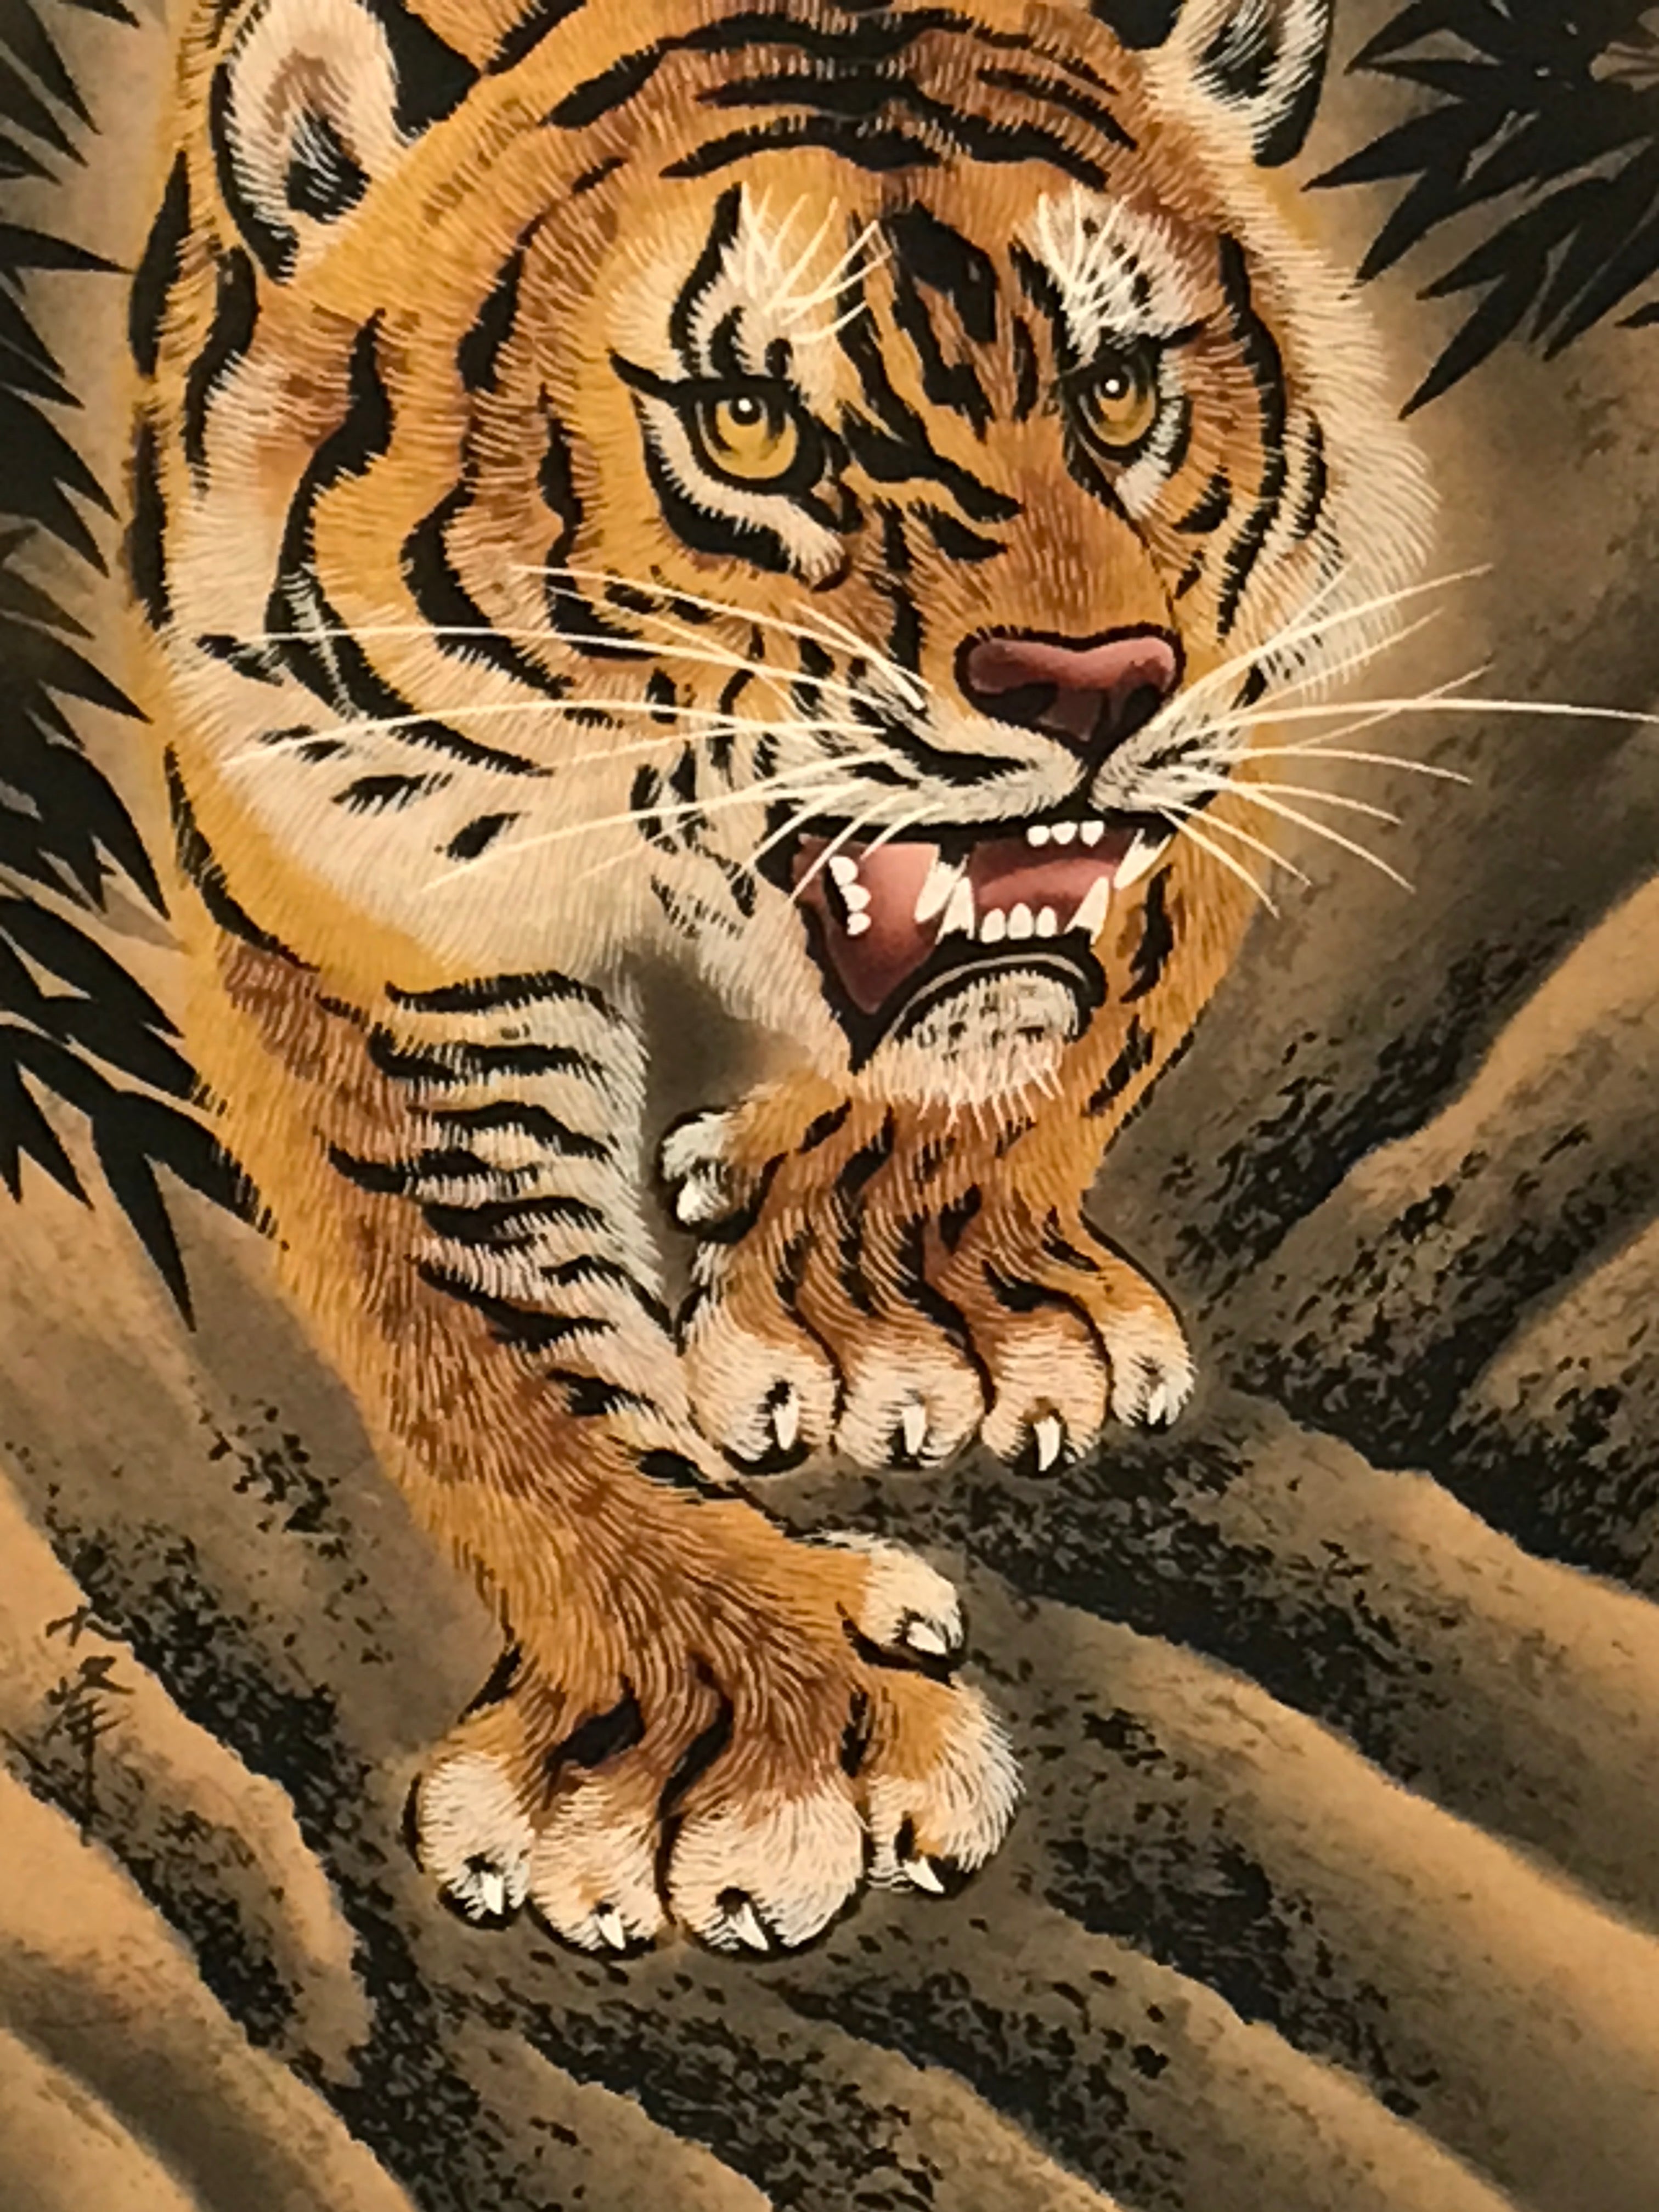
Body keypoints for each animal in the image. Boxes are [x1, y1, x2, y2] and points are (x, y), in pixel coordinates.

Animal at [122, 0, 1430, 1954]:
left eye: (1119, 394)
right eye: (747, 426)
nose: (1098, 687)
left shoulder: (1242, 687)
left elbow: (1067, 1016)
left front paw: (905, 1316)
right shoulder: (357, 882)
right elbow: (492, 1348)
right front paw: (738, 1743)